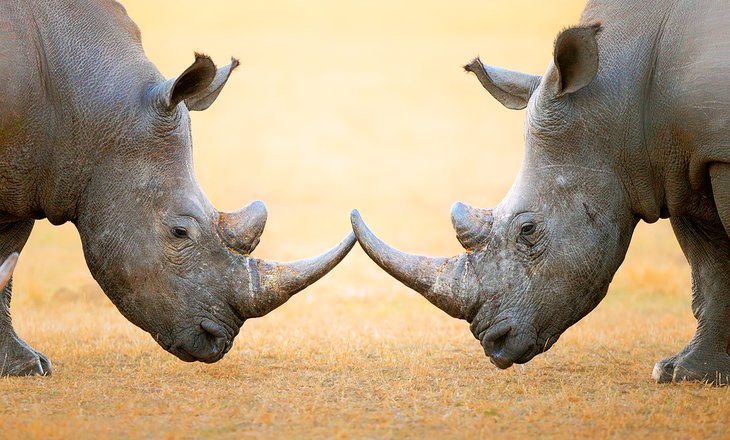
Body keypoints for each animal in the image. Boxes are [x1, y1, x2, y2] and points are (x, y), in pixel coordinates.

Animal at [0, 0, 352, 378]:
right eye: (179, 232)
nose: (216, 341)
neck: (87, 111)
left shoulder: (29, 179)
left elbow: (8, 257)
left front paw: (23, 367)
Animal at [350, 0, 724, 384]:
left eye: (528, 230)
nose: (494, 343)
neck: (619, 99)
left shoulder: (713, 156)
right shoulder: (676, 167)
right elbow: (710, 269)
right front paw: (685, 373)